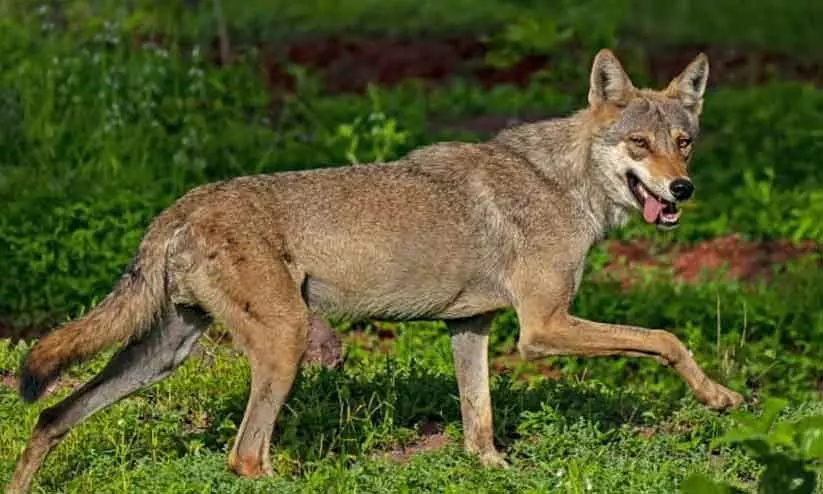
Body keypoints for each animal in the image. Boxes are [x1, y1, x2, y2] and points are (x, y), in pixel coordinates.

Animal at [7, 48, 743, 493]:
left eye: (683, 143)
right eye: (639, 144)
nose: (681, 189)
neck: (562, 184)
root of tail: (183, 202)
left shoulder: (471, 328)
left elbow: (479, 425)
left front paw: (495, 469)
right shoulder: (542, 328)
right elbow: (665, 340)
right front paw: (720, 398)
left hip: (161, 357)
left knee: (52, 418)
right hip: (283, 345)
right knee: (246, 457)